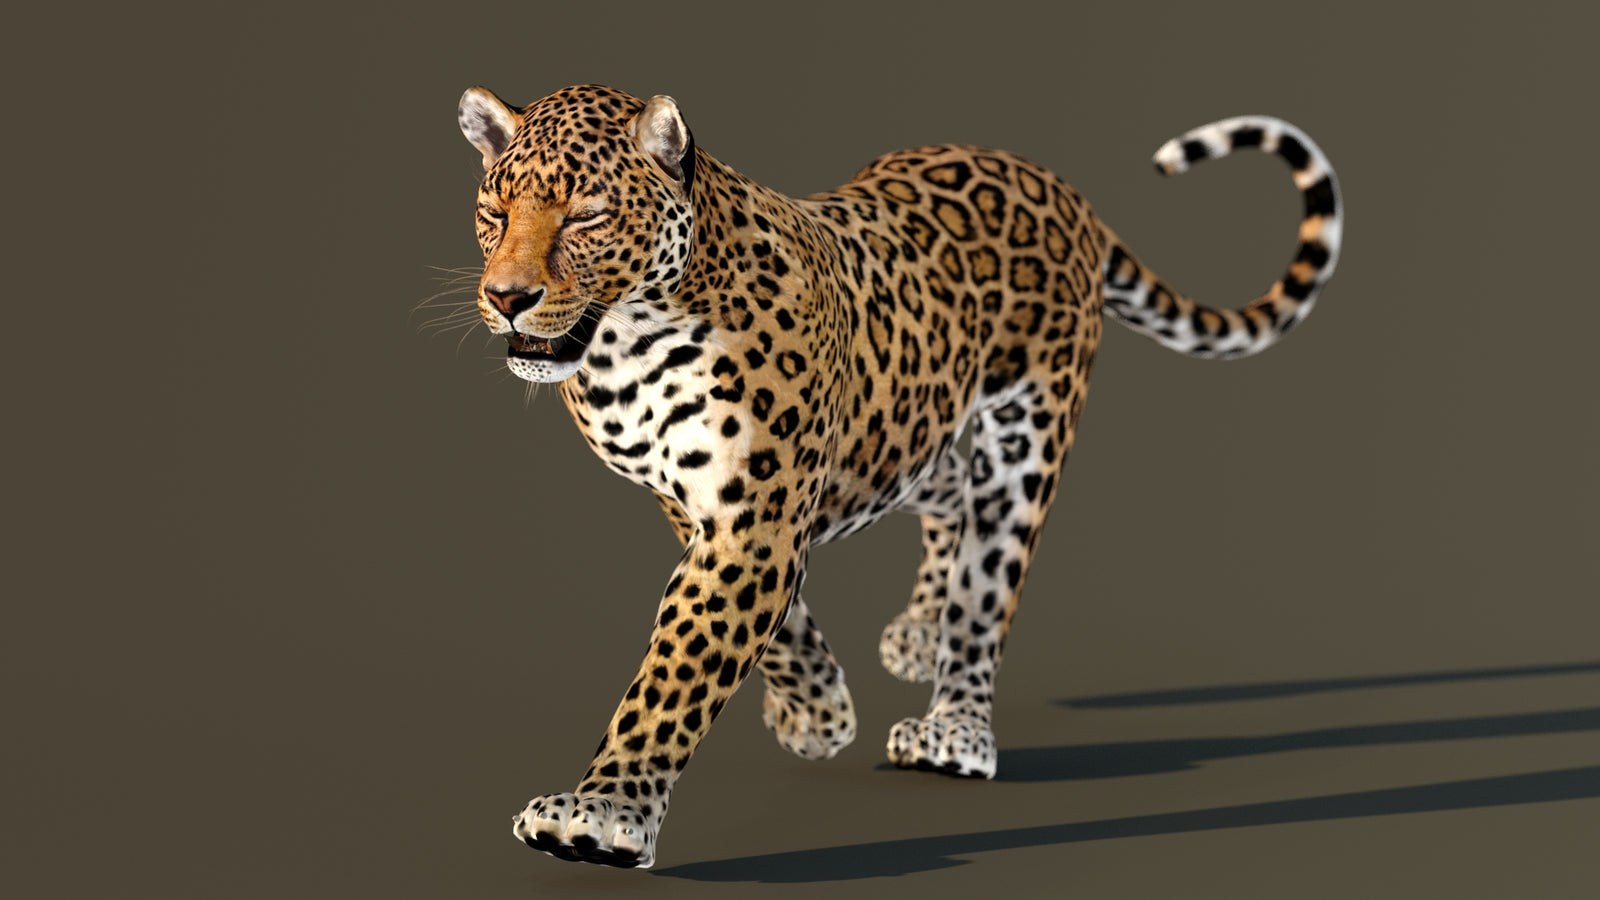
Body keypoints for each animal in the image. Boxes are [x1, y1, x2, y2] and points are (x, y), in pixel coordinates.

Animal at [450, 83, 1342, 868]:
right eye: (495, 212)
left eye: (586, 215)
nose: (507, 297)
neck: (626, 348)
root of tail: (1056, 184)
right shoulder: (699, 501)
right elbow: (772, 626)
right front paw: (816, 712)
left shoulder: (758, 515)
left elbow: (681, 663)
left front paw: (602, 812)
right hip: (911, 421)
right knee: (945, 492)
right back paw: (918, 631)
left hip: (1028, 430)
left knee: (988, 576)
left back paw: (955, 726)